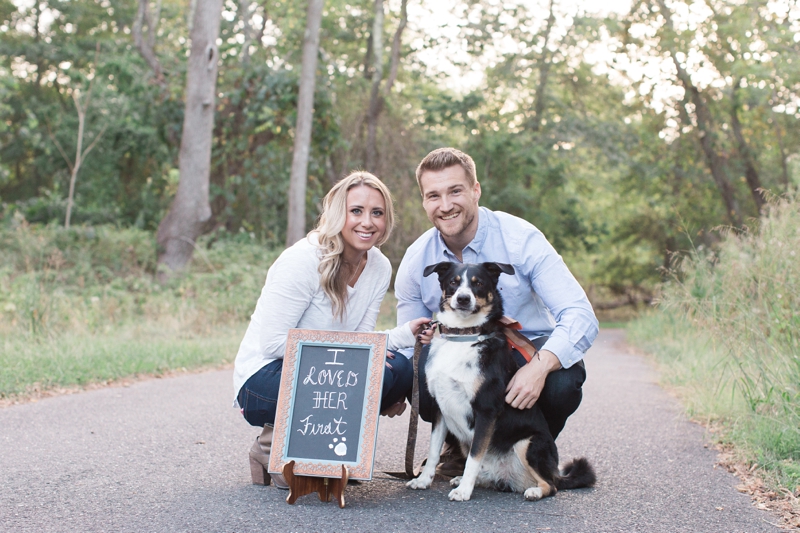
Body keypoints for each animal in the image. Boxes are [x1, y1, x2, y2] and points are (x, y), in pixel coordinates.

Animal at [406, 262, 592, 502]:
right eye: (454, 282)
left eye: (478, 283)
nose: (463, 299)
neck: (464, 336)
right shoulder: (440, 408)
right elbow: (433, 451)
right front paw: (423, 480)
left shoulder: (486, 410)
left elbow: (475, 456)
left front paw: (464, 491)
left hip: (528, 443)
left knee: (551, 485)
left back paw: (534, 491)